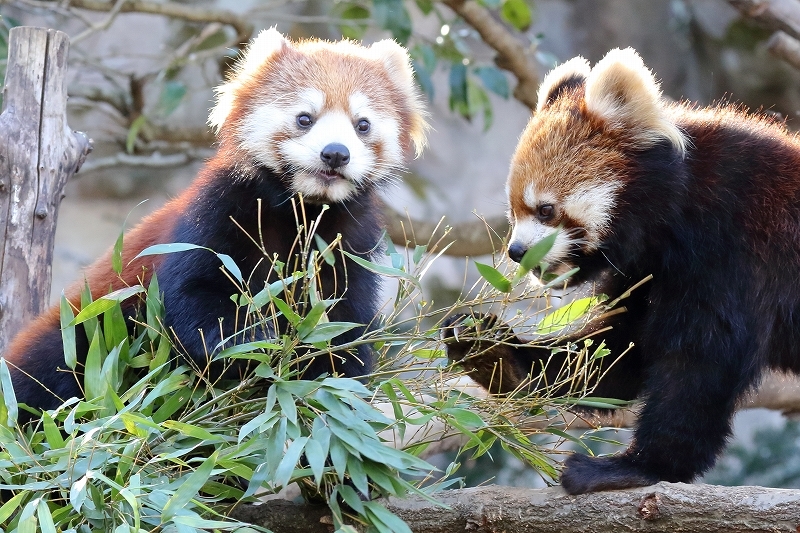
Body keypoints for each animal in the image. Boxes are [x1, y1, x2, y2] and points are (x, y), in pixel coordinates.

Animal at [6, 29, 428, 416]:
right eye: (305, 118)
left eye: (362, 125)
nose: (336, 154)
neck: (303, 209)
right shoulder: (219, 212)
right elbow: (196, 298)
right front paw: (251, 341)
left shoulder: (349, 242)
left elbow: (343, 323)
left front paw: (330, 380)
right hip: (85, 329)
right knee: (57, 366)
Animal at [446, 47, 800, 492]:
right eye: (514, 213)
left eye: (546, 210)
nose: (517, 251)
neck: (679, 207)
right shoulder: (647, 269)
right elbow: (619, 352)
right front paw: (498, 354)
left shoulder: (737, 243)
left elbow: (701, 361)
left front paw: (642, 467)